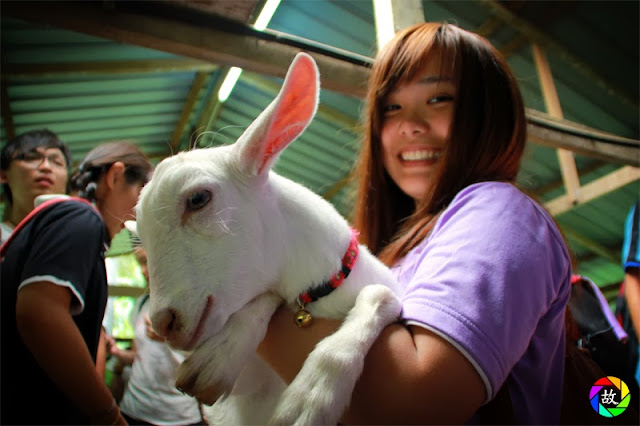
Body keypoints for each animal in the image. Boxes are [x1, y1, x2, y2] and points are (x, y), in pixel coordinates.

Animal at [138, 54, 402, 426]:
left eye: (198, 199)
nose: (163, 323)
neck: (316, 294)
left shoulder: (391, 290)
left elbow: (380, 295)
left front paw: (309, 398)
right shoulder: (246, 387)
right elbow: (262, 304)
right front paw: (220, 356)